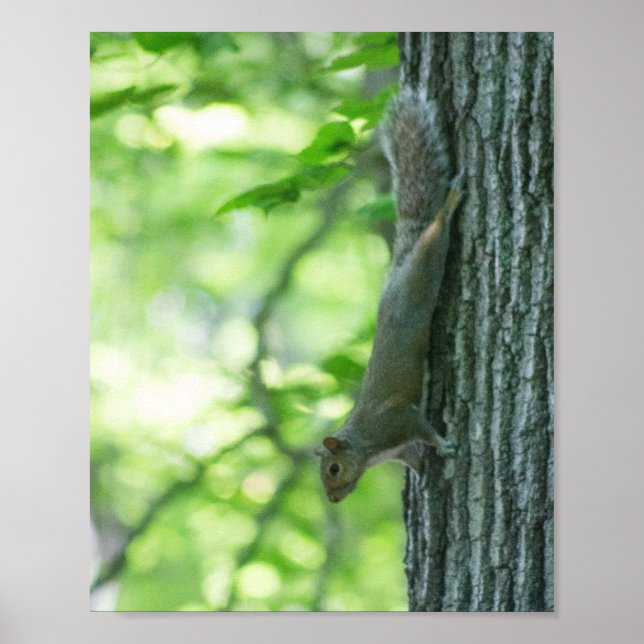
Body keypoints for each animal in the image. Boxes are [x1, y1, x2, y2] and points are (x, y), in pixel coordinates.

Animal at [315, 88, 464, 503]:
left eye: (333, 469)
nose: (333, 499)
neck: (368, 446)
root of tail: (397, 272)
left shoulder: (397, 421)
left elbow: (424, 429)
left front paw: (444, 445)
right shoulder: (400, 447)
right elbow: (414, 457)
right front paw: (423, 476)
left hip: (421, 279)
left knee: (435, 235)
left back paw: (451, 202)